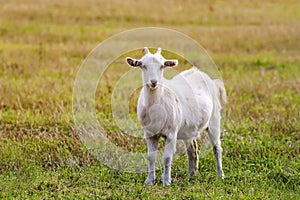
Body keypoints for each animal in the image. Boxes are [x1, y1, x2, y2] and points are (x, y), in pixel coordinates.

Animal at [125, 47, 225, 186]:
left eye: (162, 66)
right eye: (143, 65)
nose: (153, 82)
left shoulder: (171, 133)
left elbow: (167, 158)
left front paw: (166, 181)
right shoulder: (149, 133)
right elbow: (151, 157)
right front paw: (149, 180)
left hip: (214, 119)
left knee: (217, 149)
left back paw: (220, 175)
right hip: (189, 128)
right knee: (192, 149)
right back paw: (191, 175)